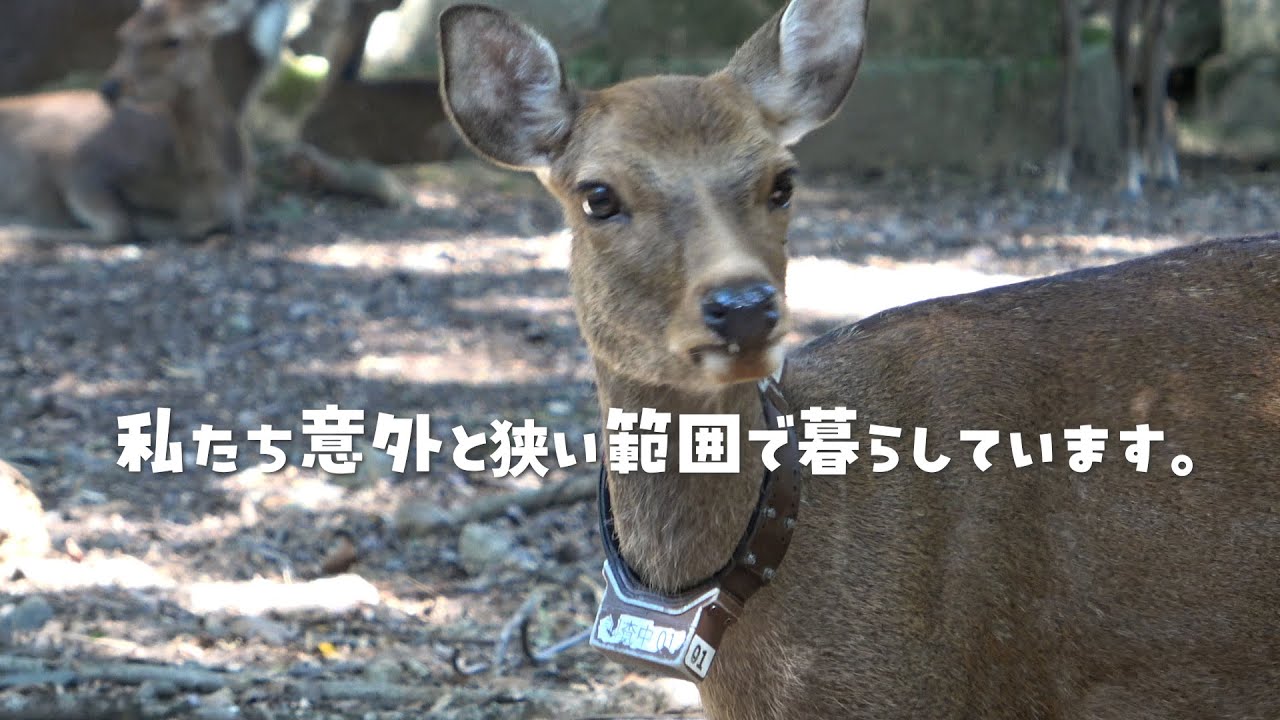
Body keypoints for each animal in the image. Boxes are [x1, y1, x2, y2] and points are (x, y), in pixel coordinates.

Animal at [0, 0, 281, 242]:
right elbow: (119, 226)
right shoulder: (77, 163)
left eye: (173, 39)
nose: (110, 87)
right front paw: (17, 230)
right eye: (124, 34)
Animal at [1052, 0, 1180, 196]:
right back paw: (1147, 163)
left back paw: (1164, 169)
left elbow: (1122, 45)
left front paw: (1128, 177)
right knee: (1152, 28)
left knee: (1156, 27)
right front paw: (1059, 176)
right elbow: (1068, 44)